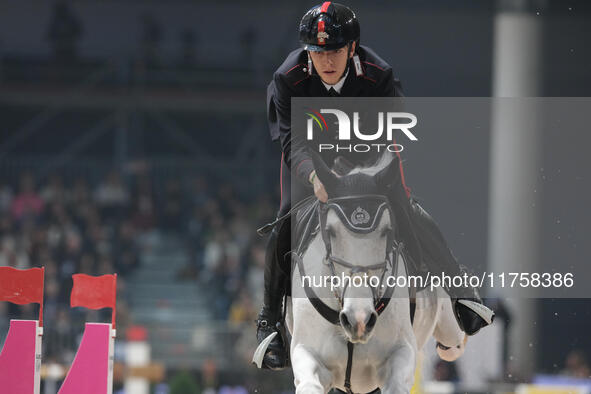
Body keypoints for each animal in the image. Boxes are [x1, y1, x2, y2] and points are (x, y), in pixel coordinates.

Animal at [284, 155, 470, 394]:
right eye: (330, 232)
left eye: (387, 231)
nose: (359, 320)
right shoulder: (307, 353)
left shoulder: (400, 353)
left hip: (450, 332)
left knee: (453, 343)